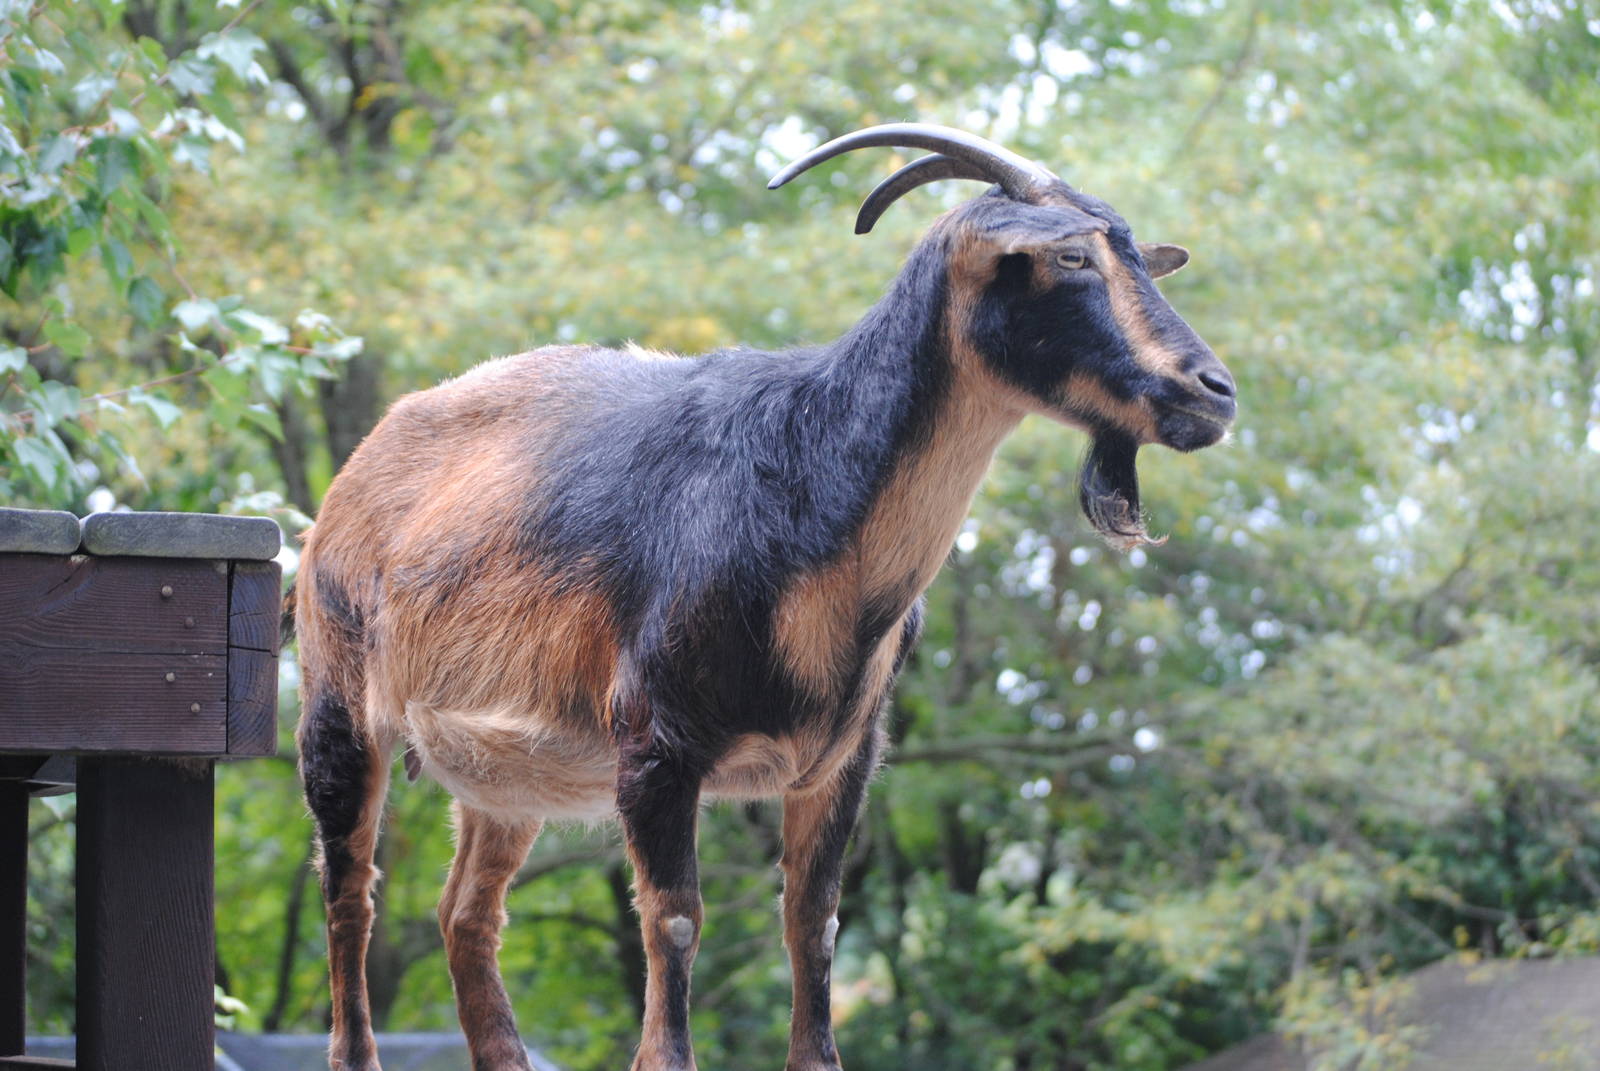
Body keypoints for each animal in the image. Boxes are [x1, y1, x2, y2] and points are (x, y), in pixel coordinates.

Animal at [292, 124, 1236, 1071]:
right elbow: (675, 921)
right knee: (350, 892)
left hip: (505, 774)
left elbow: (813, 925)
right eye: (1072, 255)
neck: (807, 474)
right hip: (339, 706)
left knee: (467, 915)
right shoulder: (656, 745)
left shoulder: (845, 757)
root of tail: (356, 472)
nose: (1213, 391)